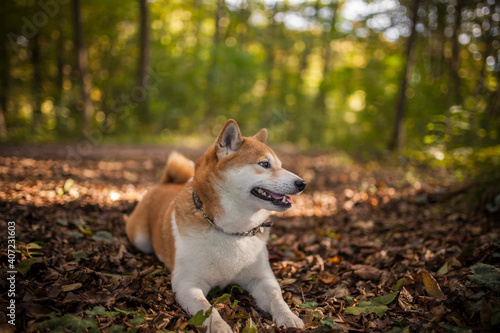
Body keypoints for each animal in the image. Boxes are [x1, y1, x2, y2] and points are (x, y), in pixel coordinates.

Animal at [125, 118, 304, 330]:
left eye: (280, 165)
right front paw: (219, 327)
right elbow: (207, 310)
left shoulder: (263, 279)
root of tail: (165, 183)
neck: (232, 231)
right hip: (141, 240)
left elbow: (278, 299)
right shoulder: (188, 284)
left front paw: (289, 317)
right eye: (264, 164)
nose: (302, 183)